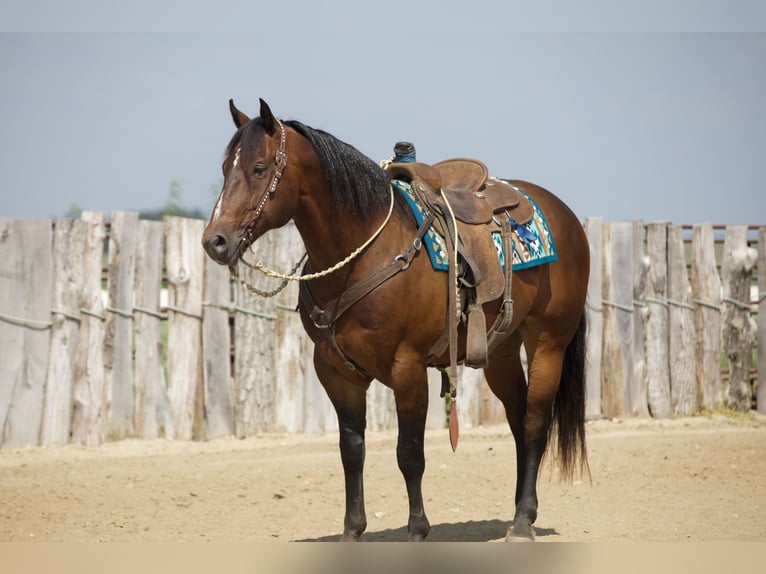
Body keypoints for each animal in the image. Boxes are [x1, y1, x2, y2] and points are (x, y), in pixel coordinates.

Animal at [202, 98, 590, 542]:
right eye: (225, 168)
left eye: (259, 168)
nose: (215, 241)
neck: (364, 251)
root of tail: (565, 215)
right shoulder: (336, 373)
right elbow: (351, 451)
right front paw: (352, 530)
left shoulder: (408, 370)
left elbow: (410, 454)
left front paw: (418, 529)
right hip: (502, 350)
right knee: (517, 418)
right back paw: (521, 511)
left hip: (549, 342)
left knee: (536, 422)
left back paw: (523, 521)